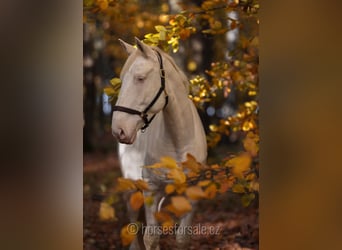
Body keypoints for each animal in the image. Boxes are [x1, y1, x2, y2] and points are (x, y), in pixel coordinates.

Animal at [112, 37, 207, 250]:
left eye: (140, 78)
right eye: (121, 80)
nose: (119, 129)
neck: (179, 142)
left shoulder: (191, 195)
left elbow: (182, 237)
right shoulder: (151, 190)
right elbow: (151, 238)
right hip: (131, 189)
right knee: (134, 225)